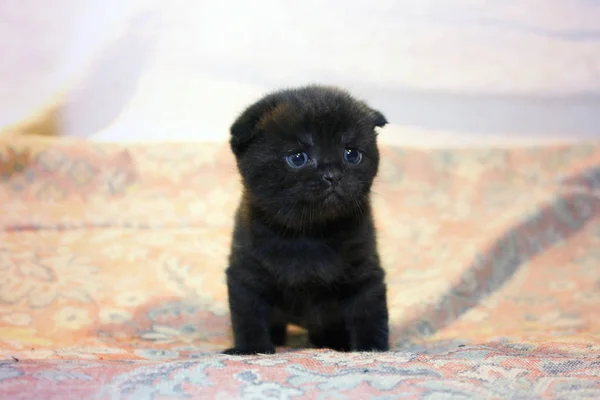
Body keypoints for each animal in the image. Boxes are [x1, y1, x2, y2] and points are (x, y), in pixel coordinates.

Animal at [224, 83, 390, 354]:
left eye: (351, 154)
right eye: (298, 158)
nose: (332, 174)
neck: (310, 234)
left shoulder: (365, 274)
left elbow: (370, 316)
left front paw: (371, 350)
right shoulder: (245, 276)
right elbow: (248, 318)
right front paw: (251, 349)